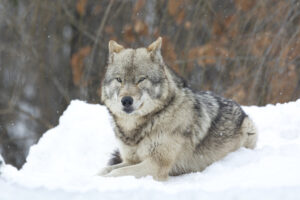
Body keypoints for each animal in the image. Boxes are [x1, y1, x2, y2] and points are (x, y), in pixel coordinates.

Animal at [98, 37, 258, 181]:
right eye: (119, 80)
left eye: (141, 79)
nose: (126, 101)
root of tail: (240, 108)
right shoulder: (130, 160)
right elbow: (105, 169)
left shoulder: (156, 165)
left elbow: (115, 173)